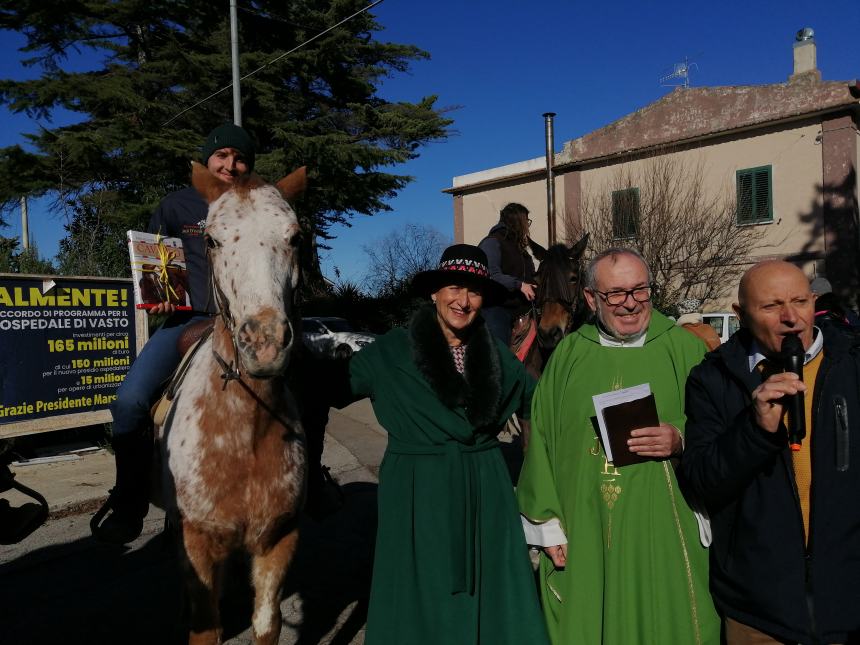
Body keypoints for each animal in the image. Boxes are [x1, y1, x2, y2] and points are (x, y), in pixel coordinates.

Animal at [161, 162, 310, 644]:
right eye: (212, 240)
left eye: (294, 237)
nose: (264, 342)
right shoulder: (197, 541)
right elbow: (205, 631)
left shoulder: (278, 539)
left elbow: (267, 623)